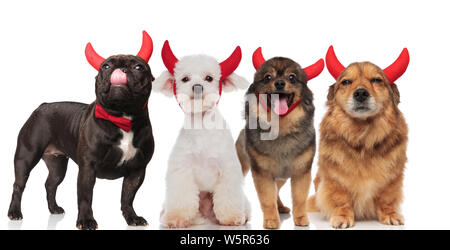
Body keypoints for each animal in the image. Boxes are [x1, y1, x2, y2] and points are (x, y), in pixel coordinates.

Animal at [154, 41, 250, 229]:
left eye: (209, 78)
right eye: (185, 79)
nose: (197, 87)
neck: (202, 127)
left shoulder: (227, 169)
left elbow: (228, 195)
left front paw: (232, 217)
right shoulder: (182, 170)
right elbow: (181, 196)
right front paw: (177, 218)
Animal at [236, 47, 324, 229]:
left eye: (292, 77)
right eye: (268, 77)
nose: (280, 83)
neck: (281, 129)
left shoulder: (301, 172)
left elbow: (299, 198)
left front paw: (300, 218)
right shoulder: (262, 173)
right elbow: (267, 199)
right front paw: (271, 219)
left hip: (281, 177)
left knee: (277, 190)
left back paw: (281, 207)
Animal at [308, 46, 410, 229]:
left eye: (376, 80)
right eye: (346, 82)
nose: (361, 93)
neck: (363, 137)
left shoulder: (392, 179)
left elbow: (386, 198)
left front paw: (390, 214)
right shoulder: (335, 178)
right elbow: (341, 199)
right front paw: (342, 216)